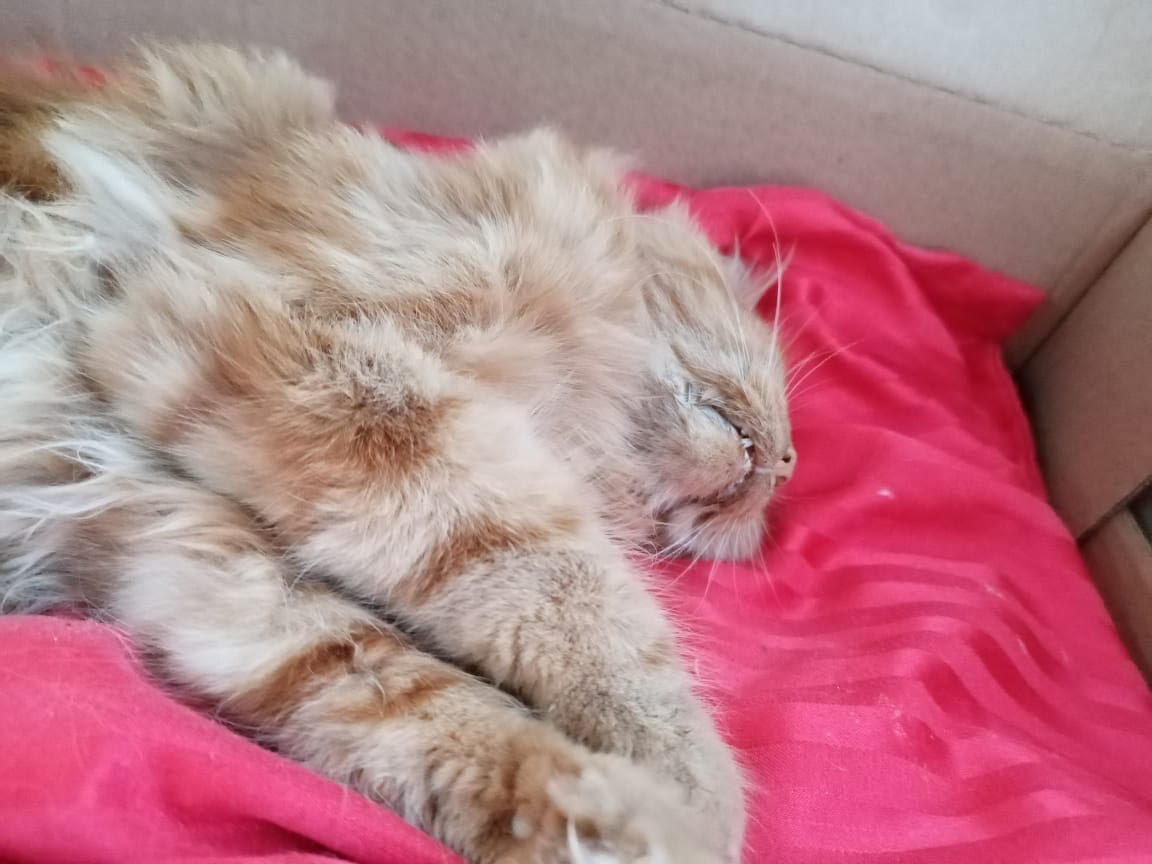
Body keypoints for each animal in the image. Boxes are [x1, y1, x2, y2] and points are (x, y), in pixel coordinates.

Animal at [0, 44, 795, 864]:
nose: (789, 465)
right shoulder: (315, 363)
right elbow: (582, 606)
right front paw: (689, 790)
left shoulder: (214, 561)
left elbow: (432, 714)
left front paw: (626, 823)